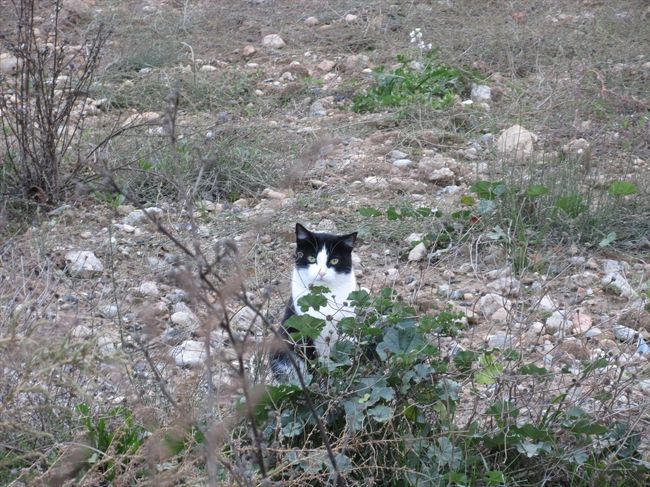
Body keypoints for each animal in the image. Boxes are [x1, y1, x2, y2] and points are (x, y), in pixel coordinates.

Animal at [270, 224, 356, 382]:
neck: (323, 297)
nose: (321, 273)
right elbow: (311, 358)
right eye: (311, 258)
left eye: (334, 261)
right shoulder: (303, 328)